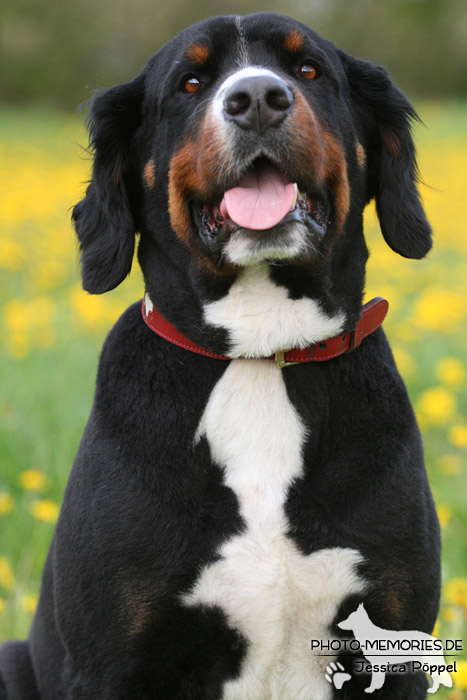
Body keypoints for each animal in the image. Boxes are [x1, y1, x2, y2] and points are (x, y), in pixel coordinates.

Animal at [0, 12, 440, 700]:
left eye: (308, 69)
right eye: (190, 82)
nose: (258, 98)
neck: (259, 353)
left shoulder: (395, 644)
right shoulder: (111, 661)